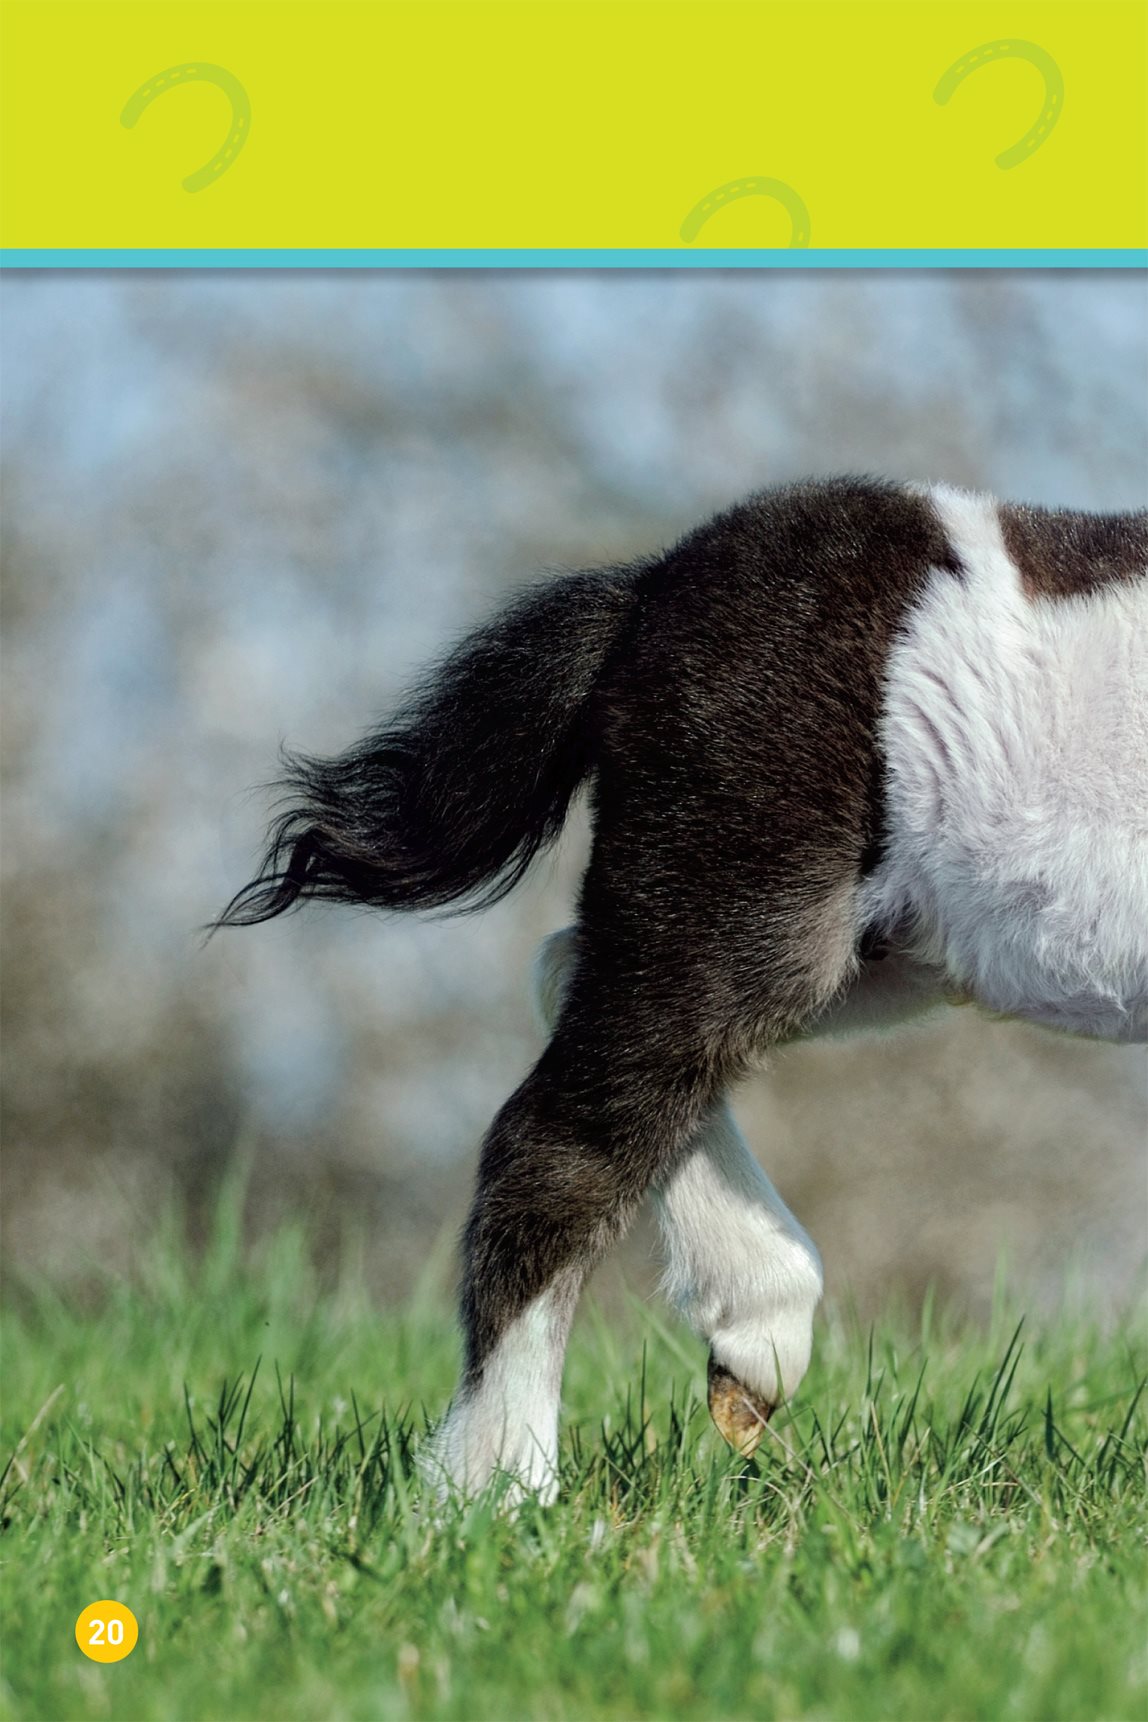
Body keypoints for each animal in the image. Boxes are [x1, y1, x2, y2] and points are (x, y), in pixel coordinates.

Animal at [217, 478, 1148, 1501]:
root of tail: (646, 594)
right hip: (745, 902)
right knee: (557, 1143)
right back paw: (501, 1486)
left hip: (857, 950)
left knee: (578, 989)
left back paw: (754, 1332)